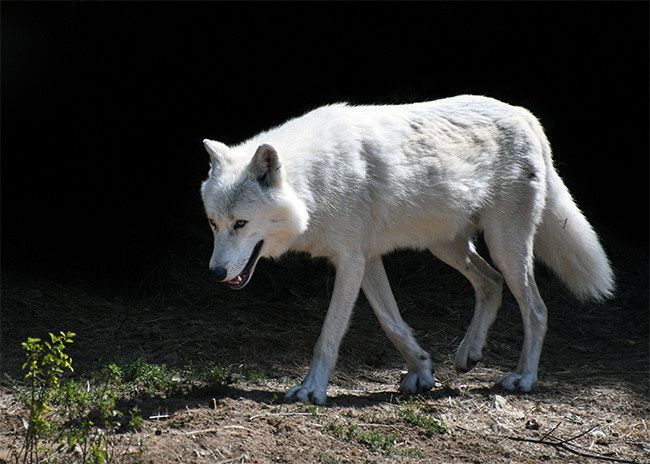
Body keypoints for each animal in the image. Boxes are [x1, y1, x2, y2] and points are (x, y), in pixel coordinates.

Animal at [201, 96, 612, 404]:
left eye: (241, 223)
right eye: (214, 224)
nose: (215, 274)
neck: (313, 185)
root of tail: (525, 115)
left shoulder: (350, 261)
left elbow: (328, 336)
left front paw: (311, 390)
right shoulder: (367, 260)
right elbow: (392, 323)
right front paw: (423, 371)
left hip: (505, 246)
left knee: (537, 308)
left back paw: (524, 378)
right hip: (447, 246)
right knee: (490, 283)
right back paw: (468, 353)